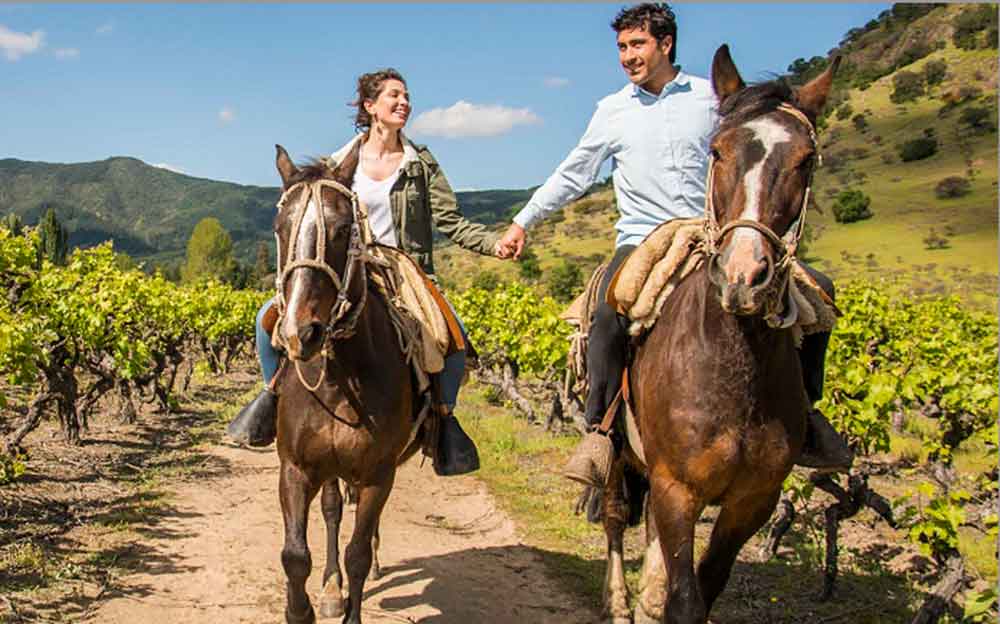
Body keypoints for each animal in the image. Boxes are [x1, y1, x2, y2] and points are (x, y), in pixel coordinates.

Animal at [272, 143, 428, 624]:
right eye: (280, 229)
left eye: (343, 230)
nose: (300, 334)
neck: (341, 378)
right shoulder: (296, 469)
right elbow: (295, 555)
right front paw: (303, 608)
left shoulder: (378, 473)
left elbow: (357, 552)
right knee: (334, 511)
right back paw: (330, 587)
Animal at [596, 45, 840, 624]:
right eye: (718, 151)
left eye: (806, 160)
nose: (743, 275)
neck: (735, 368)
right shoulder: (677, 487)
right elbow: (685, 599)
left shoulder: (753, 500)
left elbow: (705, 587)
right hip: (620, 452)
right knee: (615, 515)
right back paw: (617, 599)